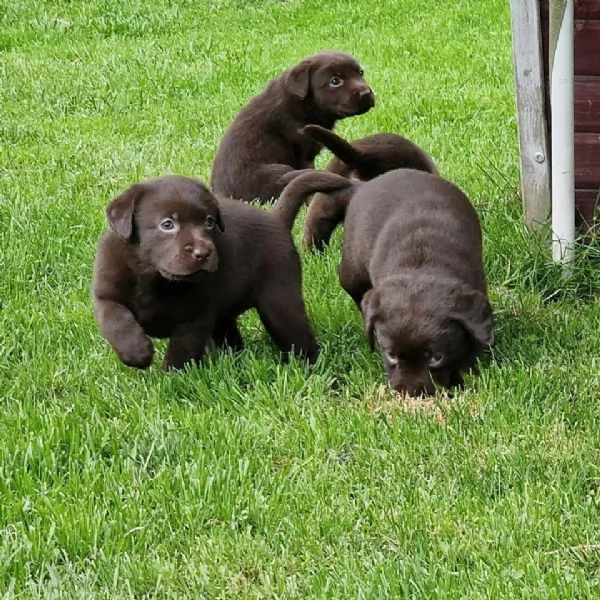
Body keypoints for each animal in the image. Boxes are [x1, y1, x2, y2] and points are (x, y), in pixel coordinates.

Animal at [92, 175, 318, 370]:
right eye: (167, 224)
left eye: (209, 222)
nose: (203, 253)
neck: (154, 279)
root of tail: (276, 219)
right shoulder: (105, 293)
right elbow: (116, 320)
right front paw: (136, 353)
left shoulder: (194, 318)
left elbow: (181, 354)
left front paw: (172, 381)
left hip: (280, 302)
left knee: (299, 337)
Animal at [209, 50, 372, 204]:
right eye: (335, 81)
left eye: (360, 72)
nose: (366, 93)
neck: (302, 104)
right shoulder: (303, 152)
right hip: (278, 170)